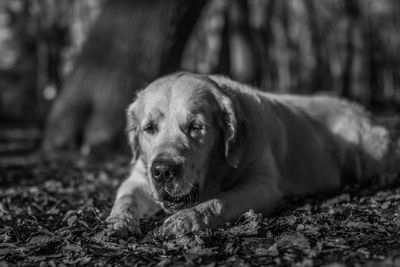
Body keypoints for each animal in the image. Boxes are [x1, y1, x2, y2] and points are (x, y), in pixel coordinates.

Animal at [104, 71, 398, 239]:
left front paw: (184, 221)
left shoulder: (262, 184)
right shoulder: (139, 176)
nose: (163, 171)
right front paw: (118, 221)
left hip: (369, 149)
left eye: (195, 127)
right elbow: (126, 196)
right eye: (149, 128)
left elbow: (219, 202)